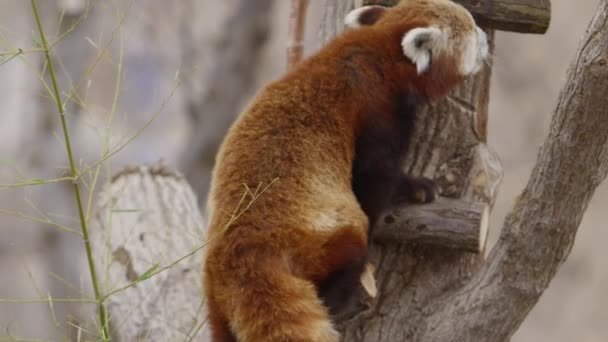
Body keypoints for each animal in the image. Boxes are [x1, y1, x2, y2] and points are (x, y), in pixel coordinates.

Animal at [204, 1, 490, 340]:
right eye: (472, 31)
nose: (486, 38)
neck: (380, 50)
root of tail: (239, 253)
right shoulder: (377, 112)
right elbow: (372, 181)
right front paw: (414, 188)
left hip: (217, 303)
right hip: (322, 232)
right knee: (351, 244)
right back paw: (342, 294)